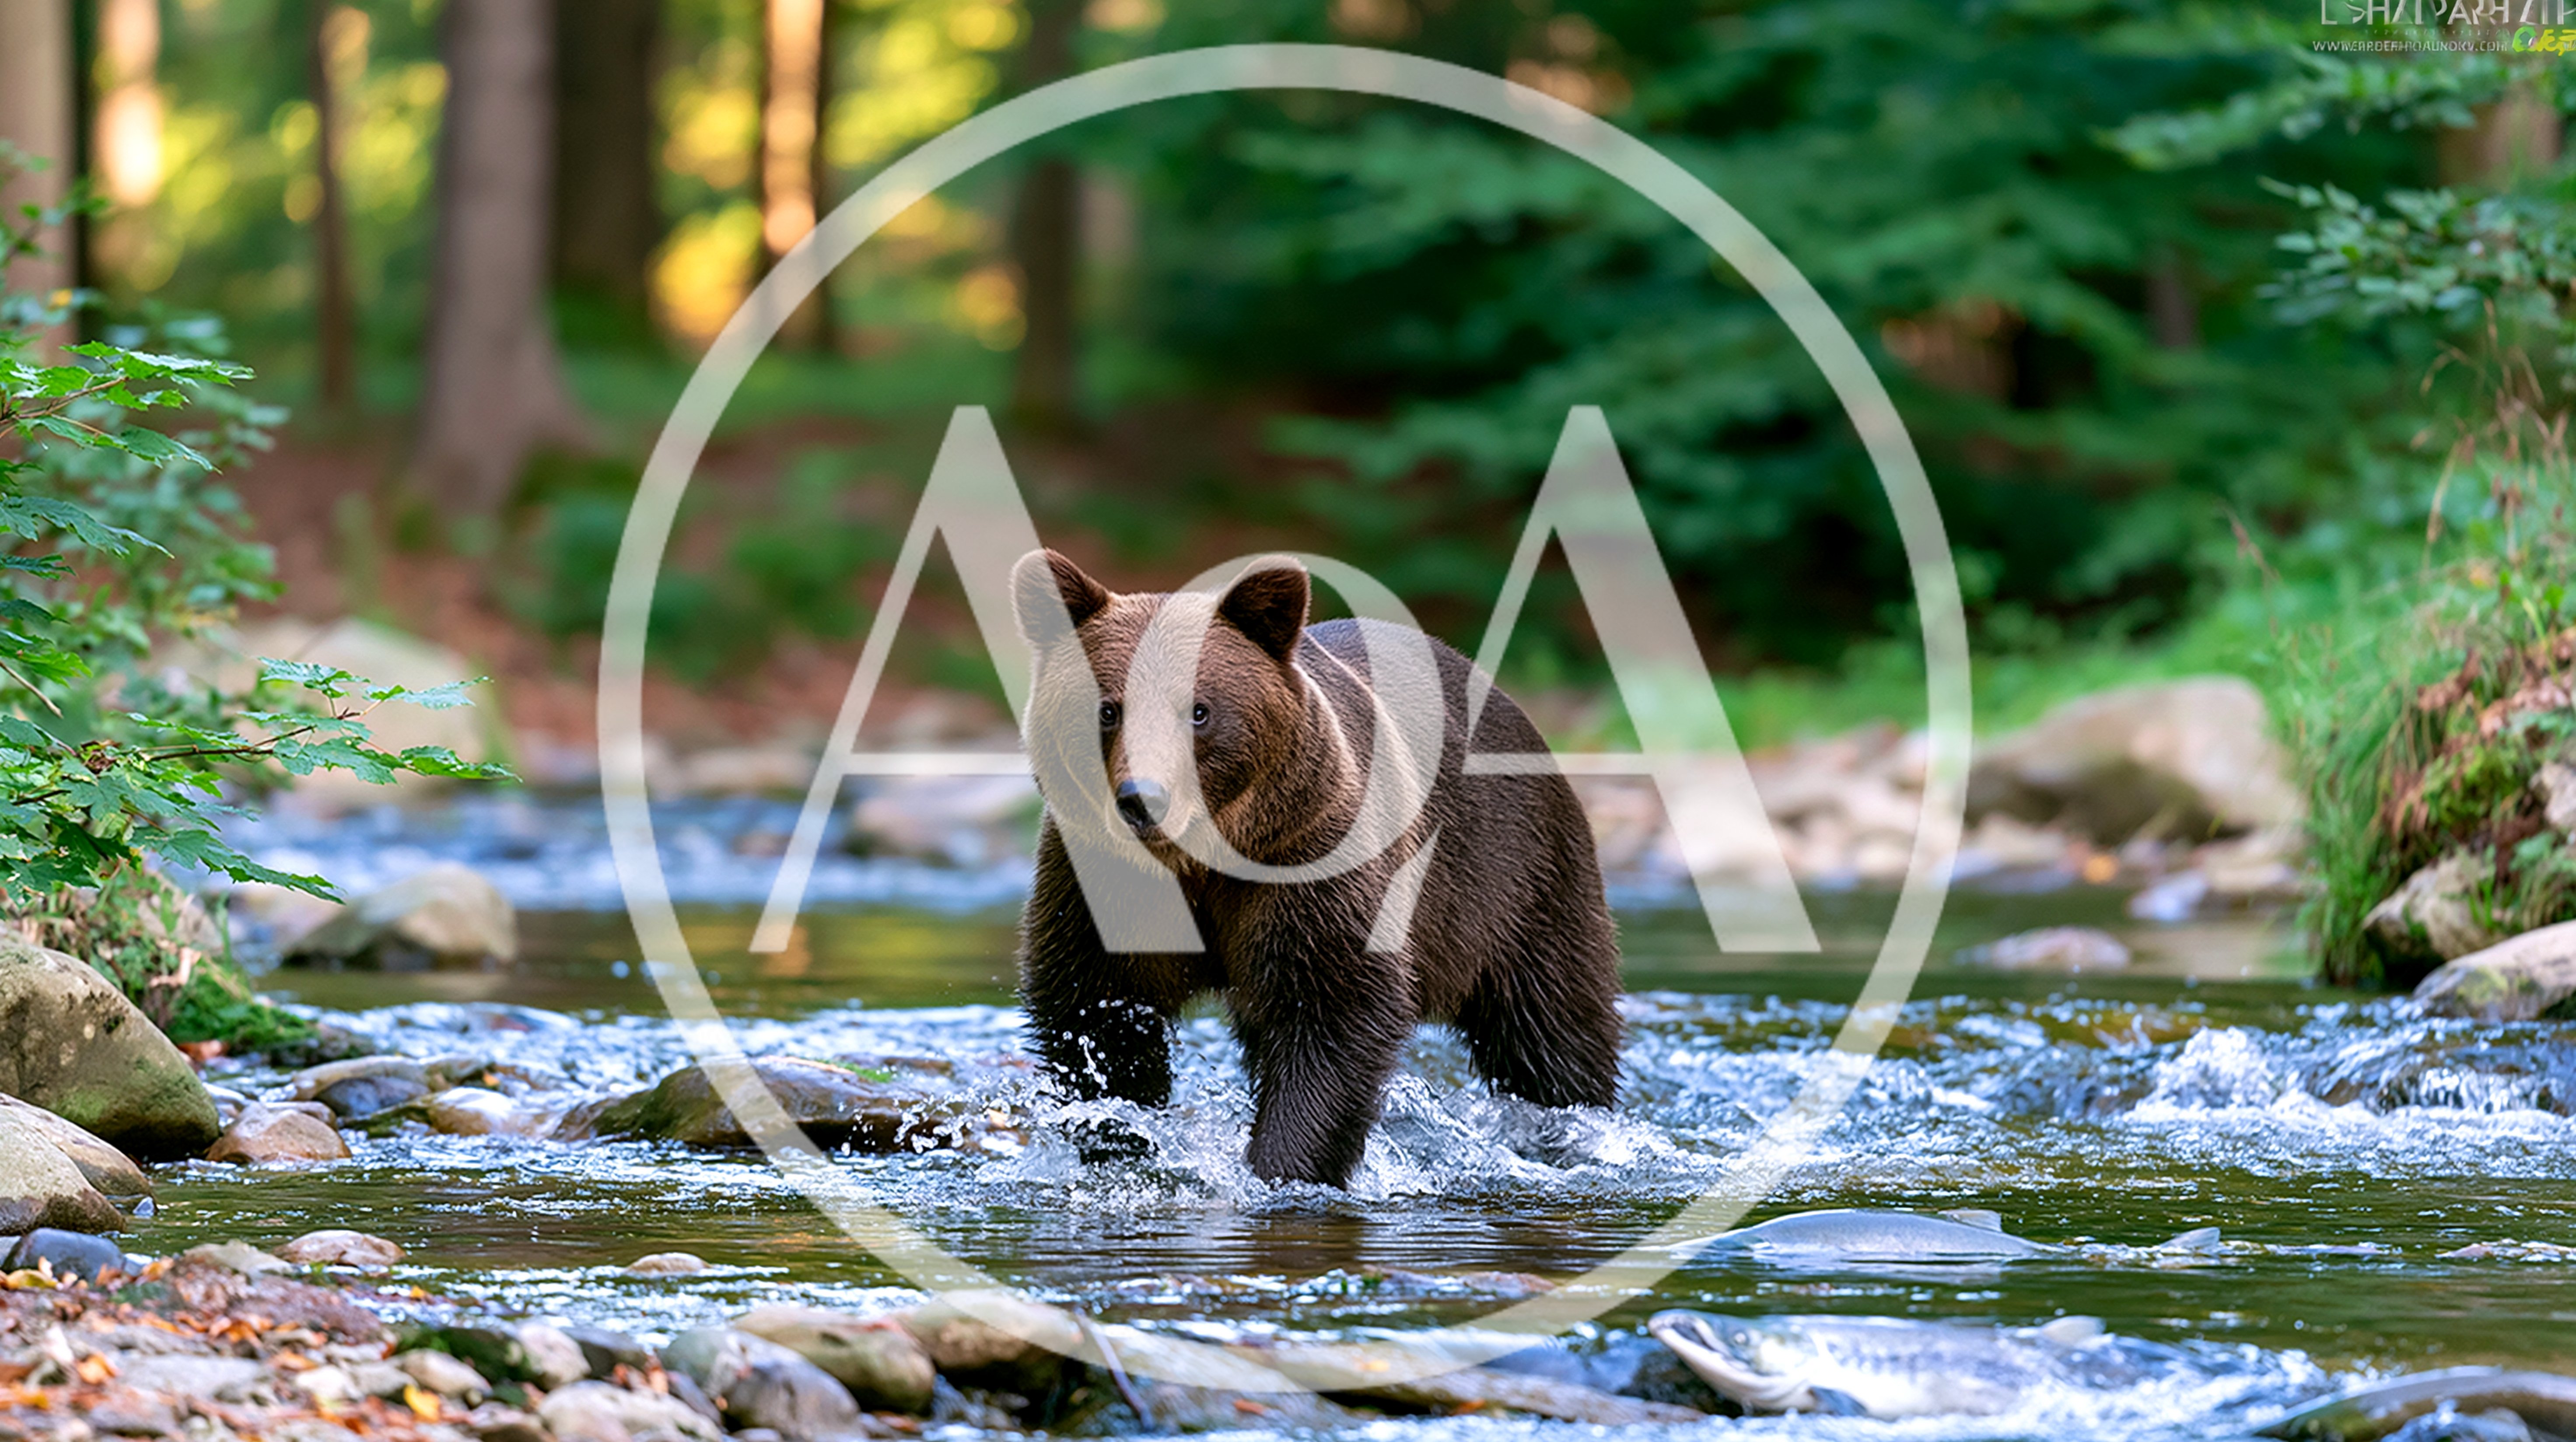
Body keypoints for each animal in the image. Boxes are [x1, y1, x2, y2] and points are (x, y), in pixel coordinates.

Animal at [1009, 547, 1624, 1188]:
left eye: (1198, 711)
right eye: (1108, 708)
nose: (1144, 799)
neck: (1203, 857)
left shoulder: (1308, 859)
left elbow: (1334, 1008)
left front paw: (1284, 1166)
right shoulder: (1100, 880)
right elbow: (1097, 1011)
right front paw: (1119, 1138)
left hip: (1519, 878)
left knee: (1550, 1027)